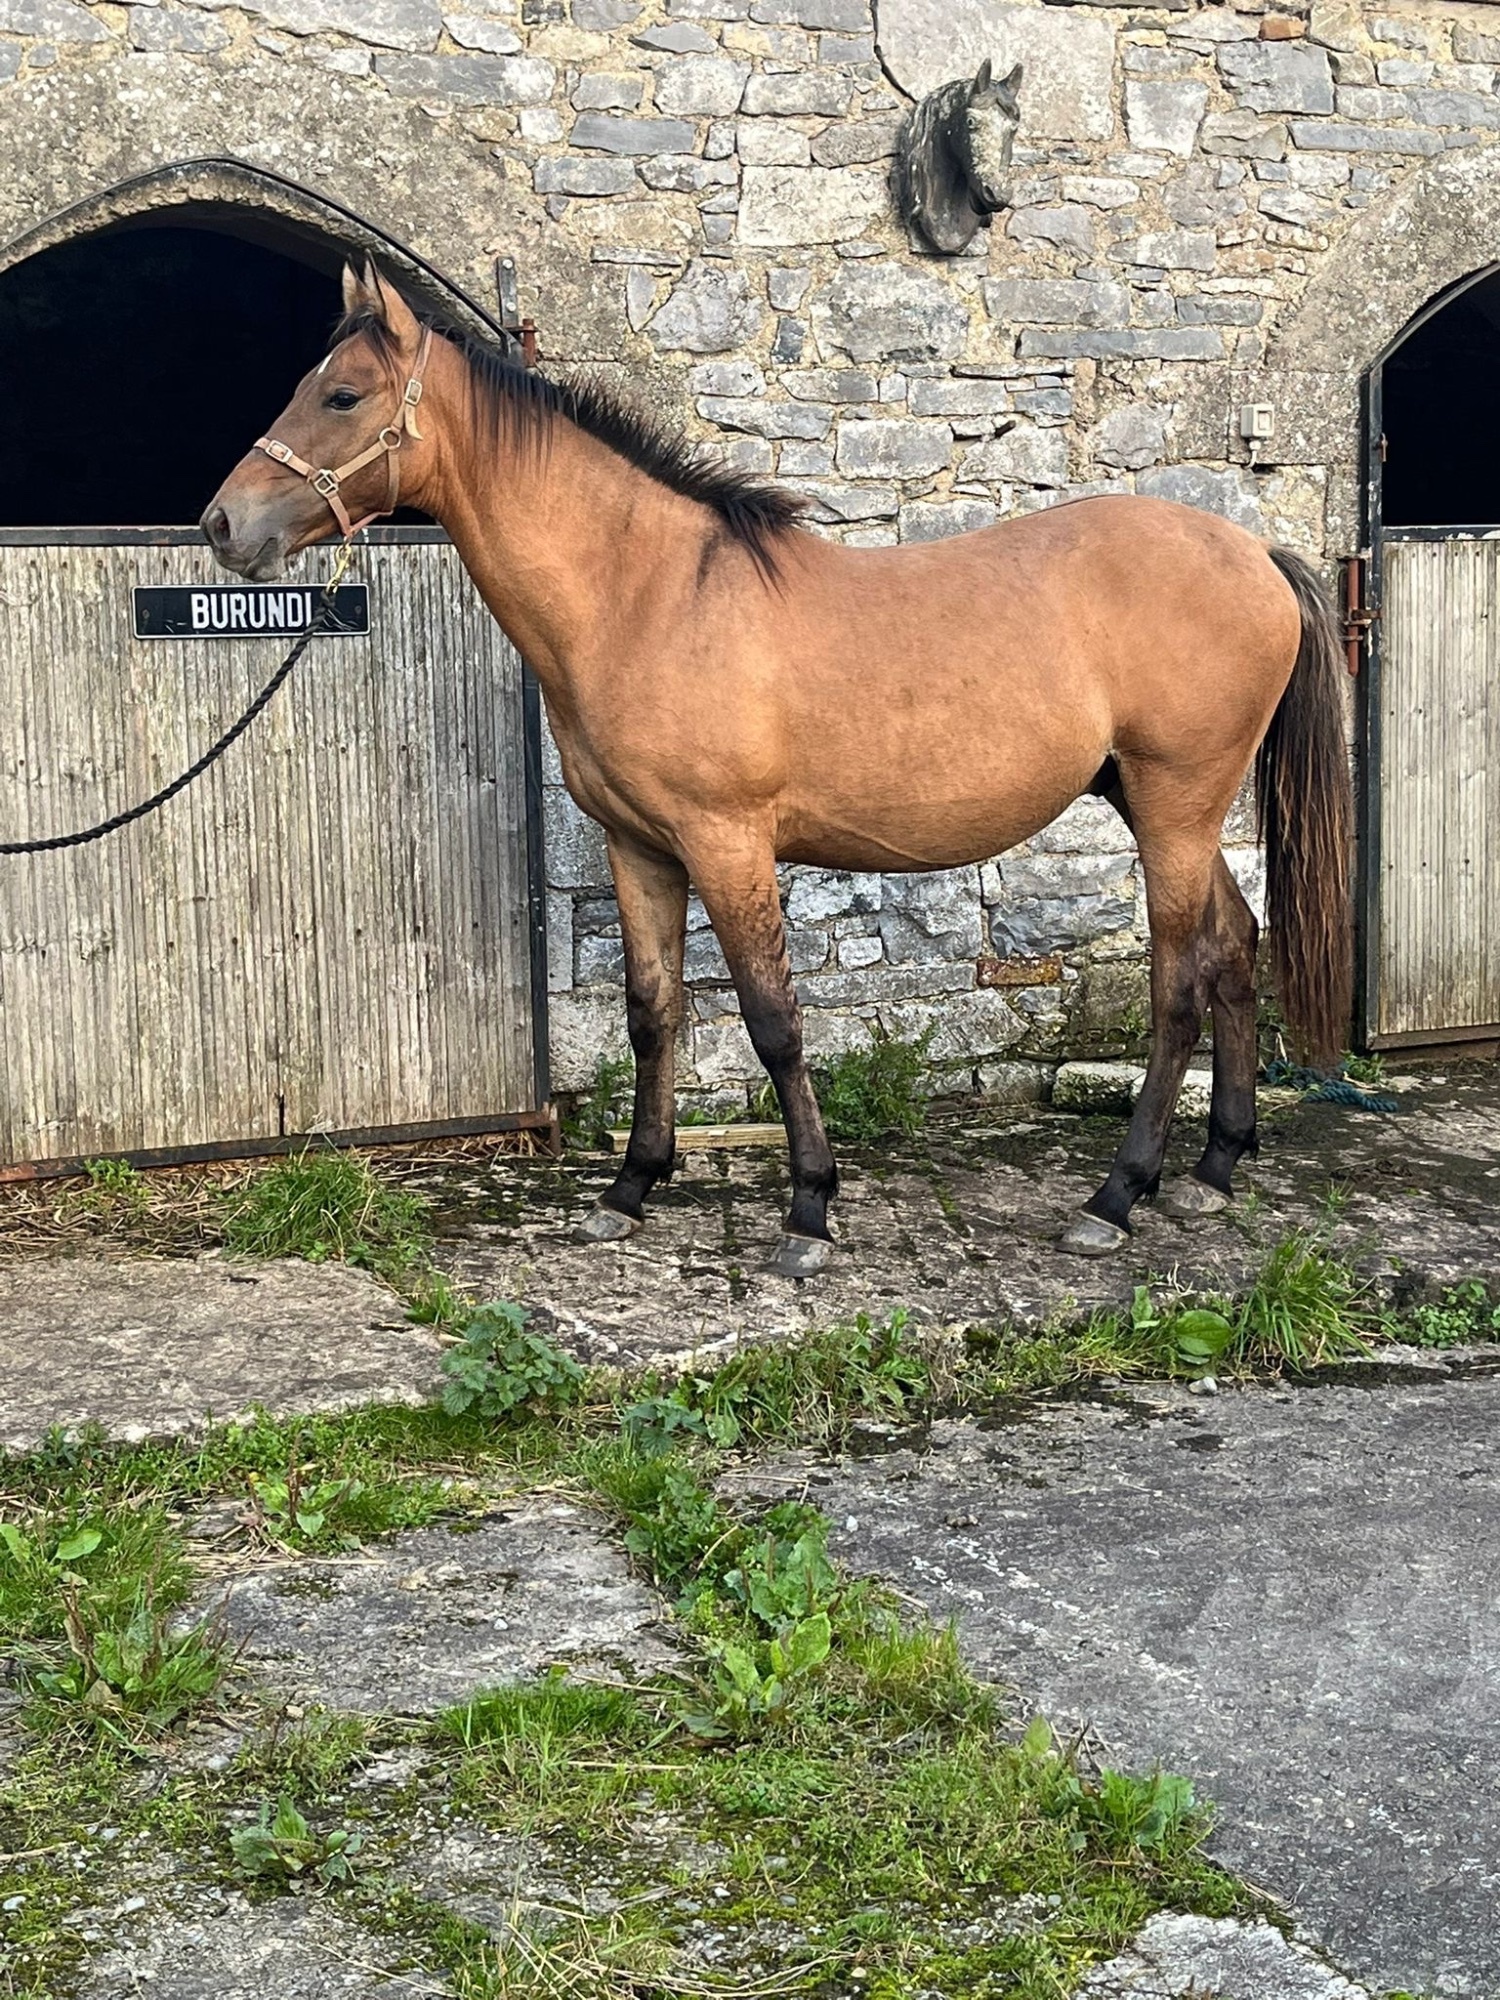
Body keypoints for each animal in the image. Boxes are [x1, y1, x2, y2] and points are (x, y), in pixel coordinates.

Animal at [202, 262, 1353, 1279]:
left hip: (1174, 802)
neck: (646, 592)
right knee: (1236, 949)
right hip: (1162, 804)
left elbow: (772, 1022)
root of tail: (1254, 555)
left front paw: (808, 1211)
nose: (221, 523)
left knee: (1180, 985)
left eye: (342, 394)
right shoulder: (641, 849)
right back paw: (1213, 1168)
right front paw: (631, 1188)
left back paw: (1116, 1196)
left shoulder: (727, 842)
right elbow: (652, 1012)